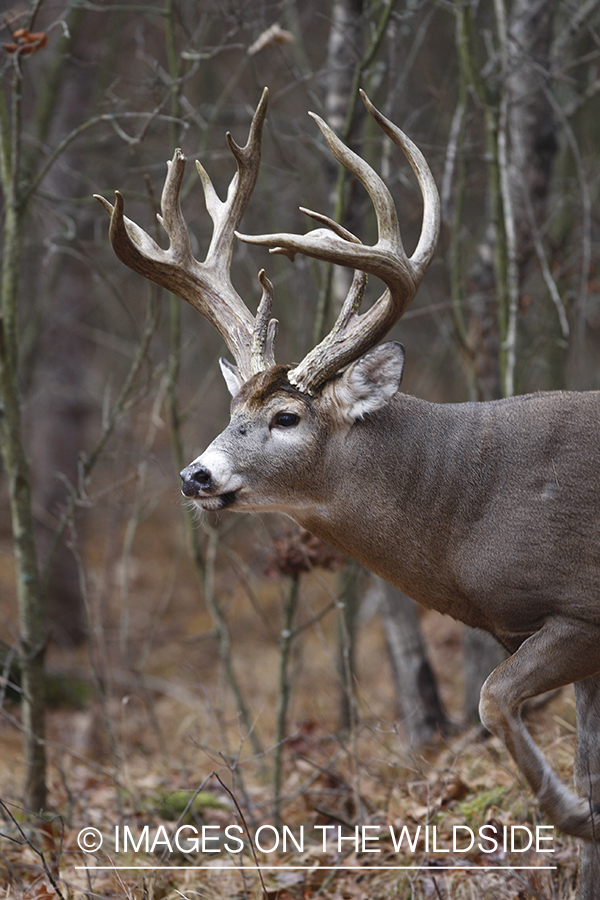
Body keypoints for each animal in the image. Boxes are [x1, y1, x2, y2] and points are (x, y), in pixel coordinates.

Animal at [96, 89, 600, 892]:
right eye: (231, 411)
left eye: (286, 416)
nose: (194, 475)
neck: (472, 502)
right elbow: (587, 766)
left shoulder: (581, 607)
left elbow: (494, 698)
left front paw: (575, 816)